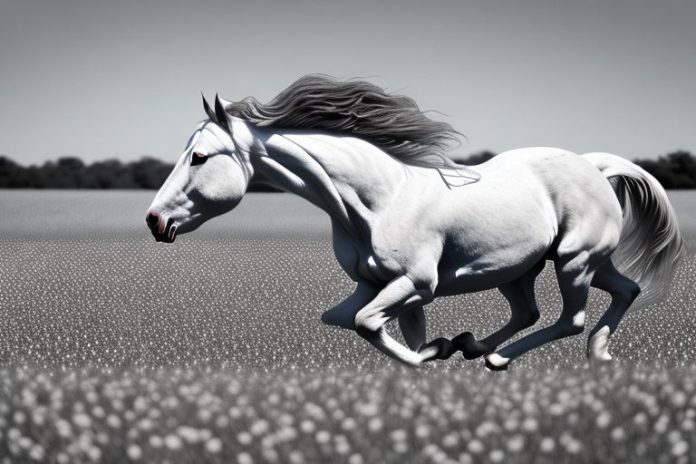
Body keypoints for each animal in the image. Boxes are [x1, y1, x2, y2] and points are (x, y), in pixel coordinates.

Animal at [146, 75, 684, 369]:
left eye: (199, 156)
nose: (155, 220)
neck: (378, 200)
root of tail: (594, 166)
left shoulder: (415, 284)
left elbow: (367, 324)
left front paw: (430, 356)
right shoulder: (375, 285)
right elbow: (345, 319)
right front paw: (439, 348)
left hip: (574, 261)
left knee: (569, 318)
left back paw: (496, 358)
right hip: (530, 268)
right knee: (606, 295)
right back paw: (578, 353)